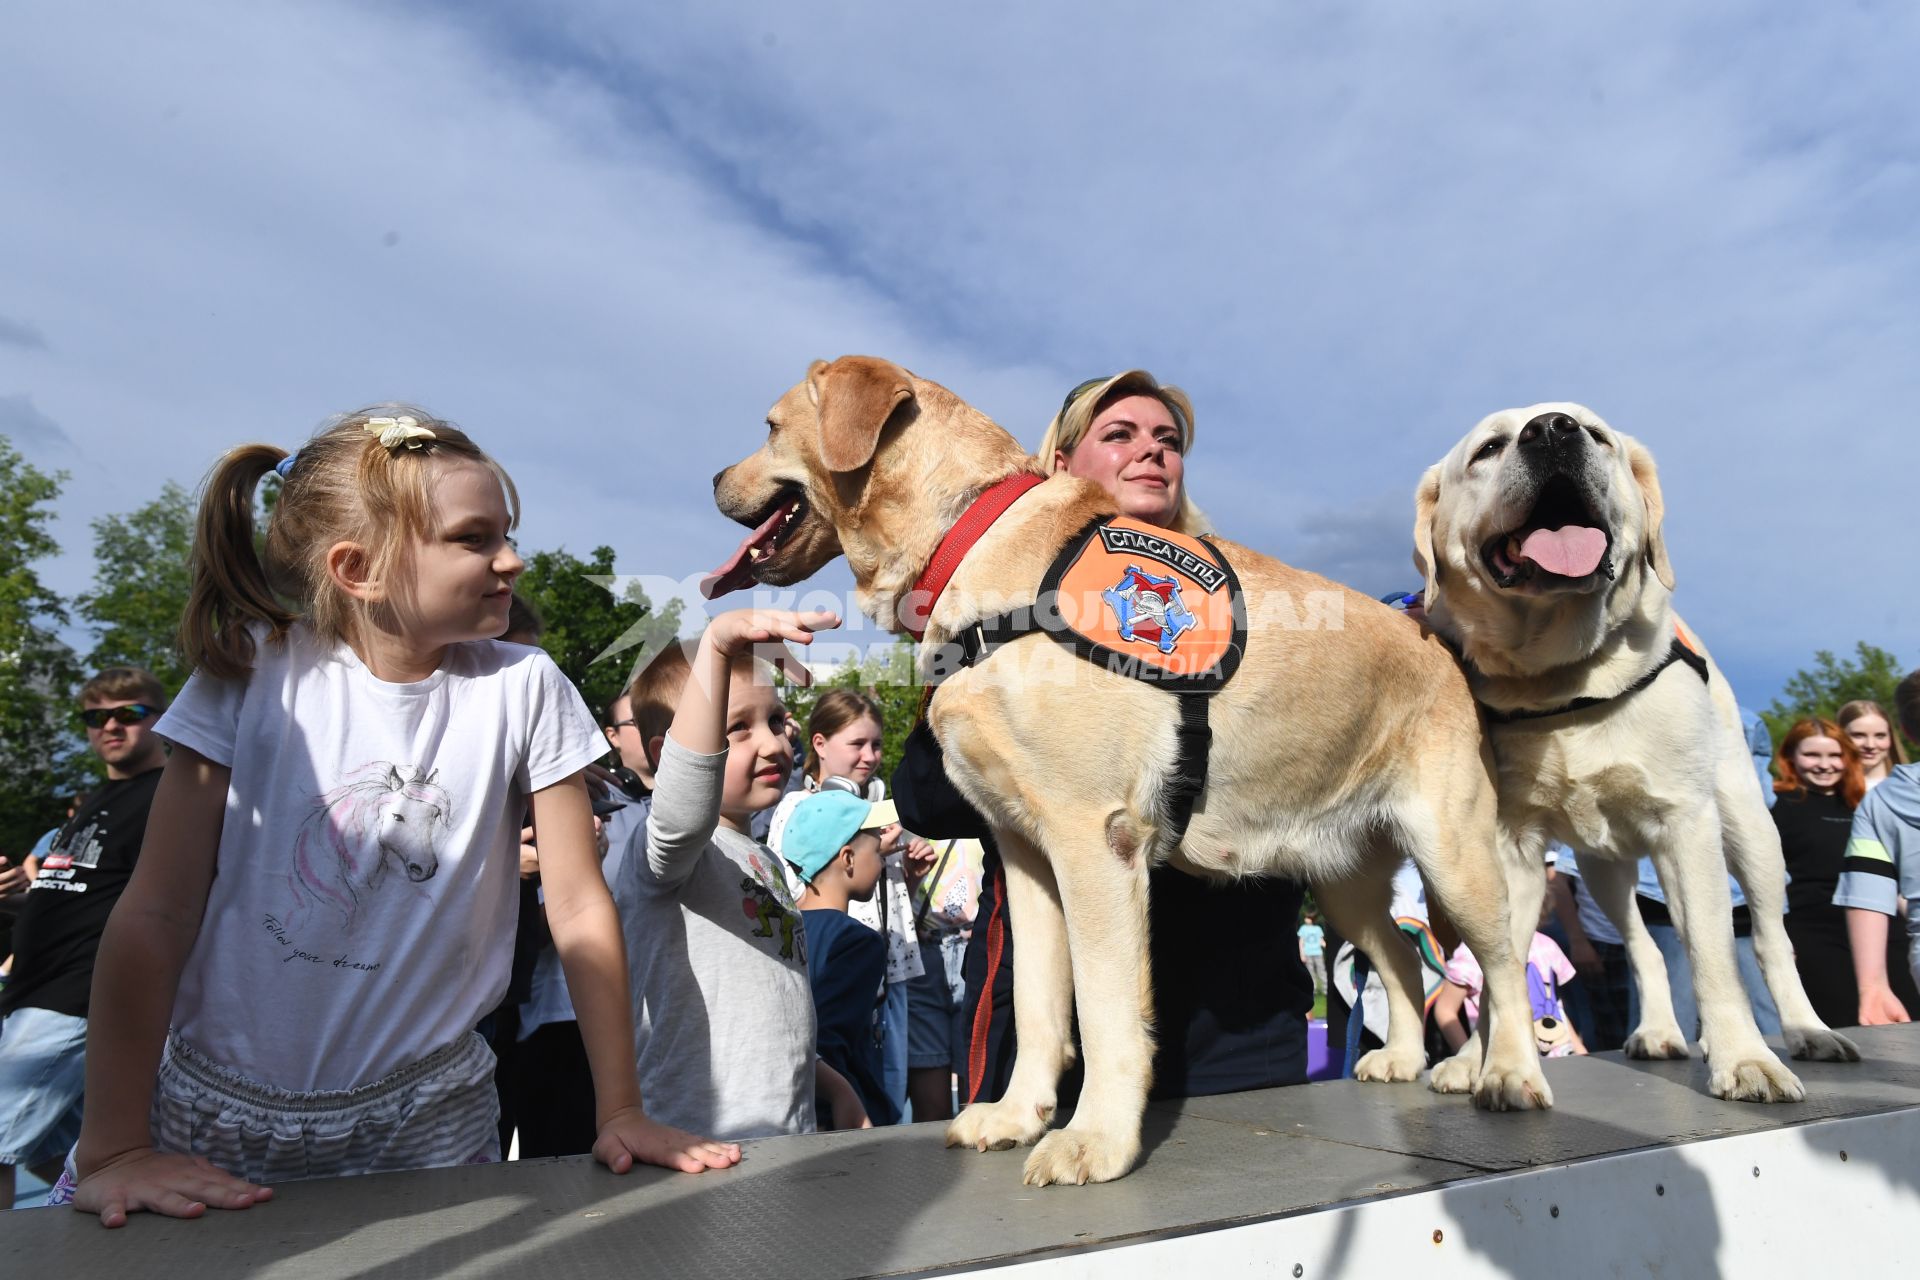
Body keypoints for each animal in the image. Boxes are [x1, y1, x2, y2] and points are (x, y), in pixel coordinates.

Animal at [714, 355, 1551, 1189]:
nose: (718, 476)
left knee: (1500, 965)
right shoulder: (1024, 855)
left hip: (1453, 855)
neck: (970, 537)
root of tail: (1437, 642)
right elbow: (1040, 1004)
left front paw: (1096, 1140)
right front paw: (1017, 1115)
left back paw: (1505, 1074)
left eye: (769, 427)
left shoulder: (1095, 840)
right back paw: (1408, 1057)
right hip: (1343, 880)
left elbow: (1105, 1012)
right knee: (1405, 959)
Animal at [1420, 402, 1850, 1105]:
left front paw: (1745, 1060)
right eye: (1488, 448)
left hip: (1748, 828)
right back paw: (1654, 1033)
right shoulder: (1512, 845)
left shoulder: (1686, 827)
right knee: (1645, 946)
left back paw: (1807, 1032)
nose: (1552, 428)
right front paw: (1490, 1064)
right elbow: (1502, 965)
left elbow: (1712, 955)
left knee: (1767, 939)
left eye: (1597, 436)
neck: (1568, 680)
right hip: (1602, 869)